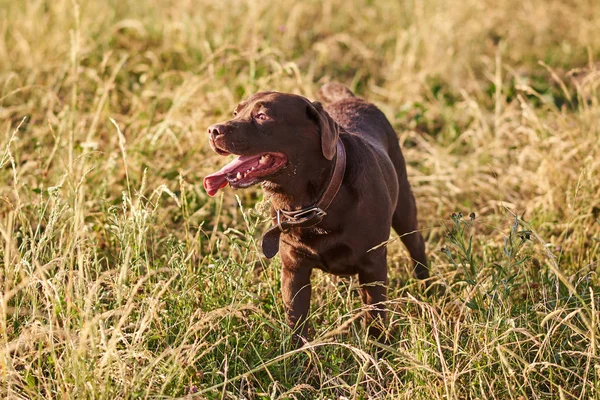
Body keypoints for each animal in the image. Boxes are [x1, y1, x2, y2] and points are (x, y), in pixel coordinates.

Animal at [204, 83, 428, 342]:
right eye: (235, 112)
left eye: (262, 116)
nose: (213, 130)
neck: (314, 202)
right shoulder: (294, 269)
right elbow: (296, 318)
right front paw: (298, 350)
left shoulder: (373, 265)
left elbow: (375, 316)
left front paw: (379, 346)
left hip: (404, 207)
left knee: (416, 244)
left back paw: (428, 286)